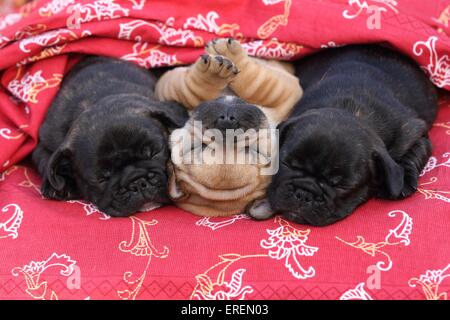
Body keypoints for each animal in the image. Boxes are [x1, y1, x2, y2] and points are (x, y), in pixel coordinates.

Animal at [32, 57, 188, 218]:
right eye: (102, 178)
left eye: (155, 153)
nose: (138, 183)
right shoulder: (45, 143)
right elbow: (46, 161)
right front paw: (58, 186)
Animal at [155, 38, 302, 216]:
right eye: (198, 146)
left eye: (254, 150)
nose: (227, 120)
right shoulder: (167, 88)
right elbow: (188, 90)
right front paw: (212, 74)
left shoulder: (285, 94)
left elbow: (257, 84)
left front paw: (227, 58)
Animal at [262, 44, 438, 225]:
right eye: (286, 164)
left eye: (342, 186)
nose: (304, 194)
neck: (351, 109)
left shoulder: (413, 131)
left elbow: (414, 154)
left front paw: (404, 180)